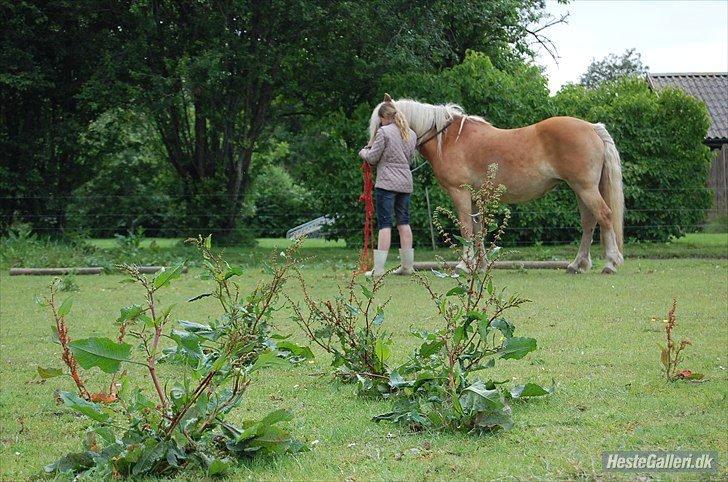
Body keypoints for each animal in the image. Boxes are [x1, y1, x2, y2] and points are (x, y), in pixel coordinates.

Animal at [370, 94, 624, 274]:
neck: (448, 139)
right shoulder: (475, 197)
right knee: (589, 222)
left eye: (381, 123)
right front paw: (479, 265)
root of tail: (591, 127)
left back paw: (610, 262)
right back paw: (577, 264)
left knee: (604, 216)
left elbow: (465, 227)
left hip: (585, 188)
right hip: (580, 190)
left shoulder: (460, 193)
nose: (369, 151)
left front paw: (464, 265)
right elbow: (477, 230)